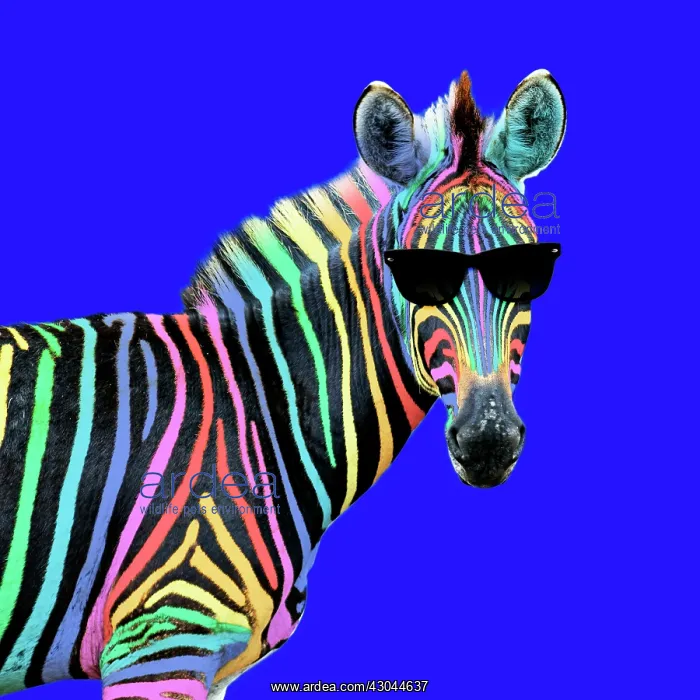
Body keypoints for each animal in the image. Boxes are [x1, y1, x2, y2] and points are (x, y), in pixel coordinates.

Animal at [0, 69, 566, 699]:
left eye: (528, 271)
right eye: (413, 273)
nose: (488, 442)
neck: (261, 412)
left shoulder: (205, 663)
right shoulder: (161, 640)